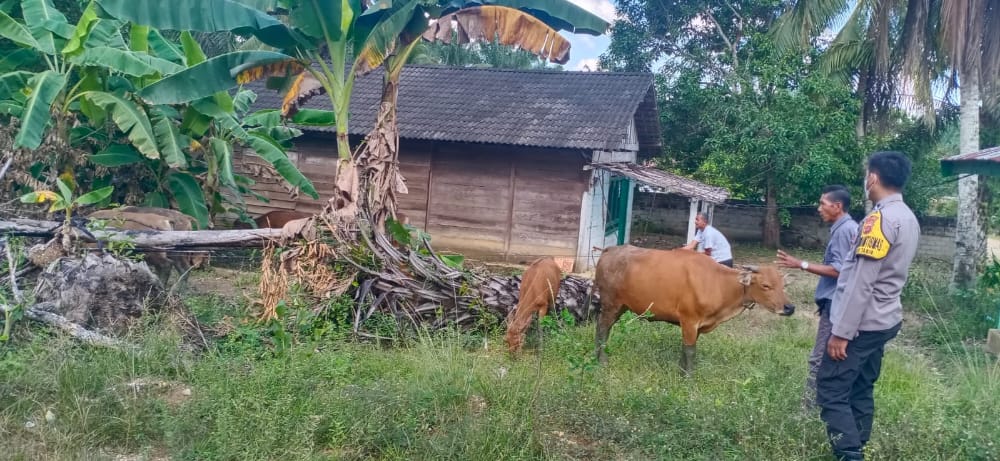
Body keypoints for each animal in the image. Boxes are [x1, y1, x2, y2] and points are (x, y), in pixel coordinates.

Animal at [592, 244, 796, 374]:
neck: (719, 283)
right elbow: (690, 350)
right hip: (611, 303)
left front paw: (681, 369)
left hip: (621, 306)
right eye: (765, 285)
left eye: (783, 285)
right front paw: (688, 376)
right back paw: (602, 360)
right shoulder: (689, 319)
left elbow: (687, 349)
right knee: (602, 328)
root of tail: (610, 249)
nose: (789, 308)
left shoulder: (696, 325)